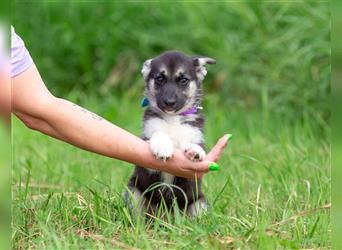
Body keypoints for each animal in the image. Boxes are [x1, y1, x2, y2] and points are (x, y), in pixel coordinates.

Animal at [124, 50, 215, 217]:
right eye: (160, 79)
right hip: (133, 191)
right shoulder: (146, 159)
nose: (169, 103)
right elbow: (158, 134)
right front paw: (163, 147)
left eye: (184, 80)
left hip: (200, 203)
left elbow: (196, 145)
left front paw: (195, 151)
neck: (173, 119)